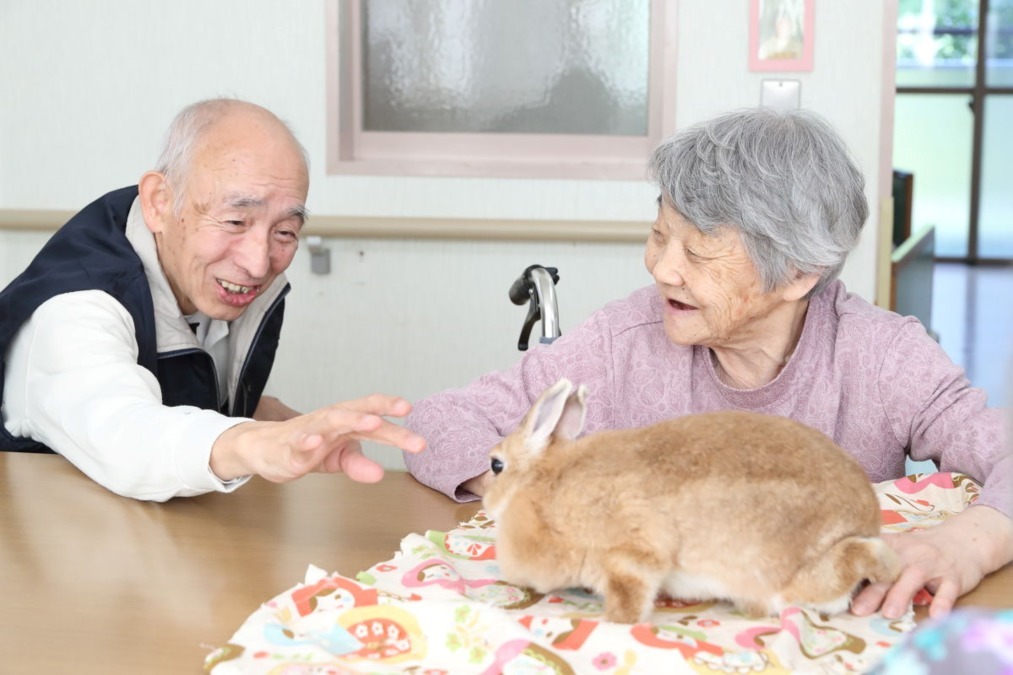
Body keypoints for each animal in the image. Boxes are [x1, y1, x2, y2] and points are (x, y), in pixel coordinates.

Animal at [482, 375, 903, 624]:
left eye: (496, 465)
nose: (485, 502)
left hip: (792, 569)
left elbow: (629, 596)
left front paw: (614, 622)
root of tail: (867, 518)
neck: (545, 482)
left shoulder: (630, 554)